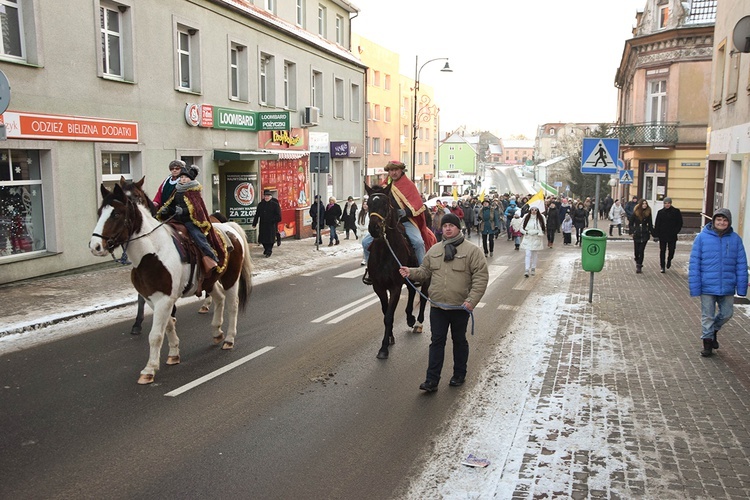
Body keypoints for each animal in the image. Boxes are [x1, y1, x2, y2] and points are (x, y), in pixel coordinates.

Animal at [89, 182, 254, 384]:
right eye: (99, 212)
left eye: (116, 214)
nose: (95, 246)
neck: (152, 253)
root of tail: (229, 226)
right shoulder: (153, 299)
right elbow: (167, 326)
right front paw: (174, 354)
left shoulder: (165, 299)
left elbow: (155, 335)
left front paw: (149, 370)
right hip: (210, 281)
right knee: (219, 298)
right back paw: (217, 332)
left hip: (231, 277)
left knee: (232, 305)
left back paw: (229, 339)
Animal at [364, 184, 428, 360]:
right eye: (368, 204)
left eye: (385, 204)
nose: (374, 228)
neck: (385, 251)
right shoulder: (378, 287)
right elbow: (386, 312)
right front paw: (390, 337)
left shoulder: (395, 287)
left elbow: (389, 316)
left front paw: (384, 348)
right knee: (412, 293)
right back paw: (410, 317)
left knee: (423, 298)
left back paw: (418, 323)